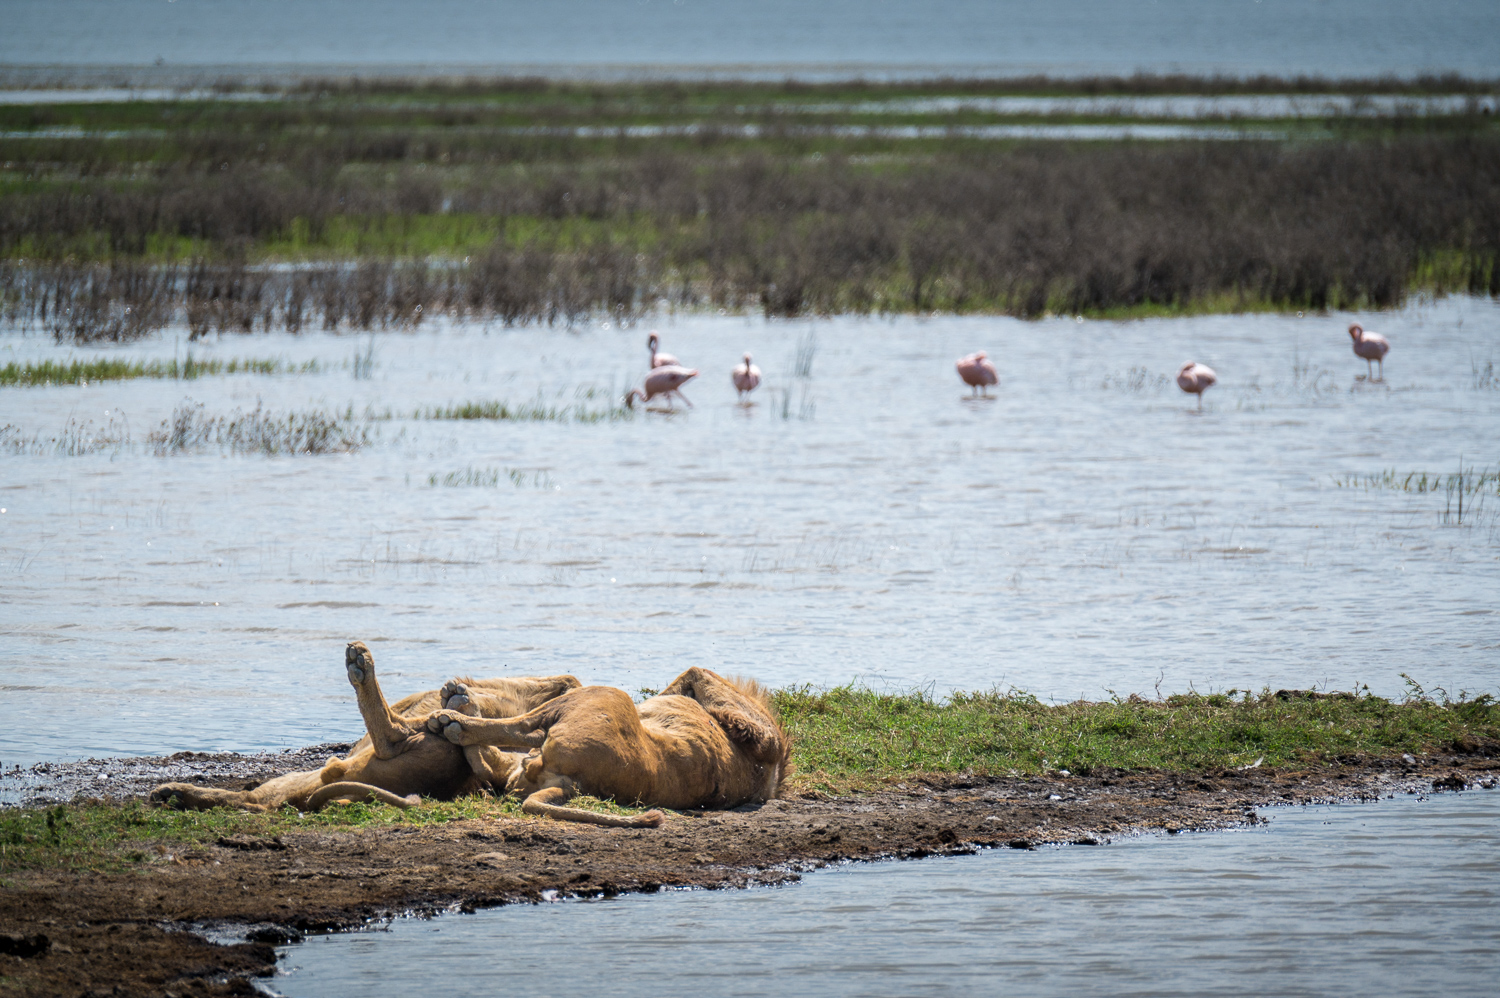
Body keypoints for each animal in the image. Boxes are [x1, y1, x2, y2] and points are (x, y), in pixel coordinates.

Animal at [147, 642, 579, 816]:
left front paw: (460, 698)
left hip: (419, 747)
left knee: (393, 737)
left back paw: (362, 663)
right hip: (294, 781)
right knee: (253, 801)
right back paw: (173, 793)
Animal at [423, 669, 798, 822]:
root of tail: (572, 783)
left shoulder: (757, 732)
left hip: (601, 695)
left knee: (520, 726)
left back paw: (453, 715)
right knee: (495, 761)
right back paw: (459, 707)